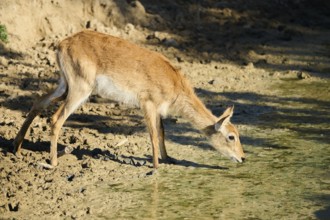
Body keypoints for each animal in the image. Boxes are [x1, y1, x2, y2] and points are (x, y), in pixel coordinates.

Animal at [12, 29, 245, 168]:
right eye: (231, 136)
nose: (243, 157)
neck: (175, 85)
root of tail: (62, 44)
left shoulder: (158, 110)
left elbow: (162, 132)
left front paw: (168, 159)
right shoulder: (147, 104)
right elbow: (153, 135)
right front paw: (155, 167)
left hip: (64, 84)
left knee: (38, 102)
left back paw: (17, 146)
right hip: (80, 89)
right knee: (56, 119)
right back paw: (51, 163)